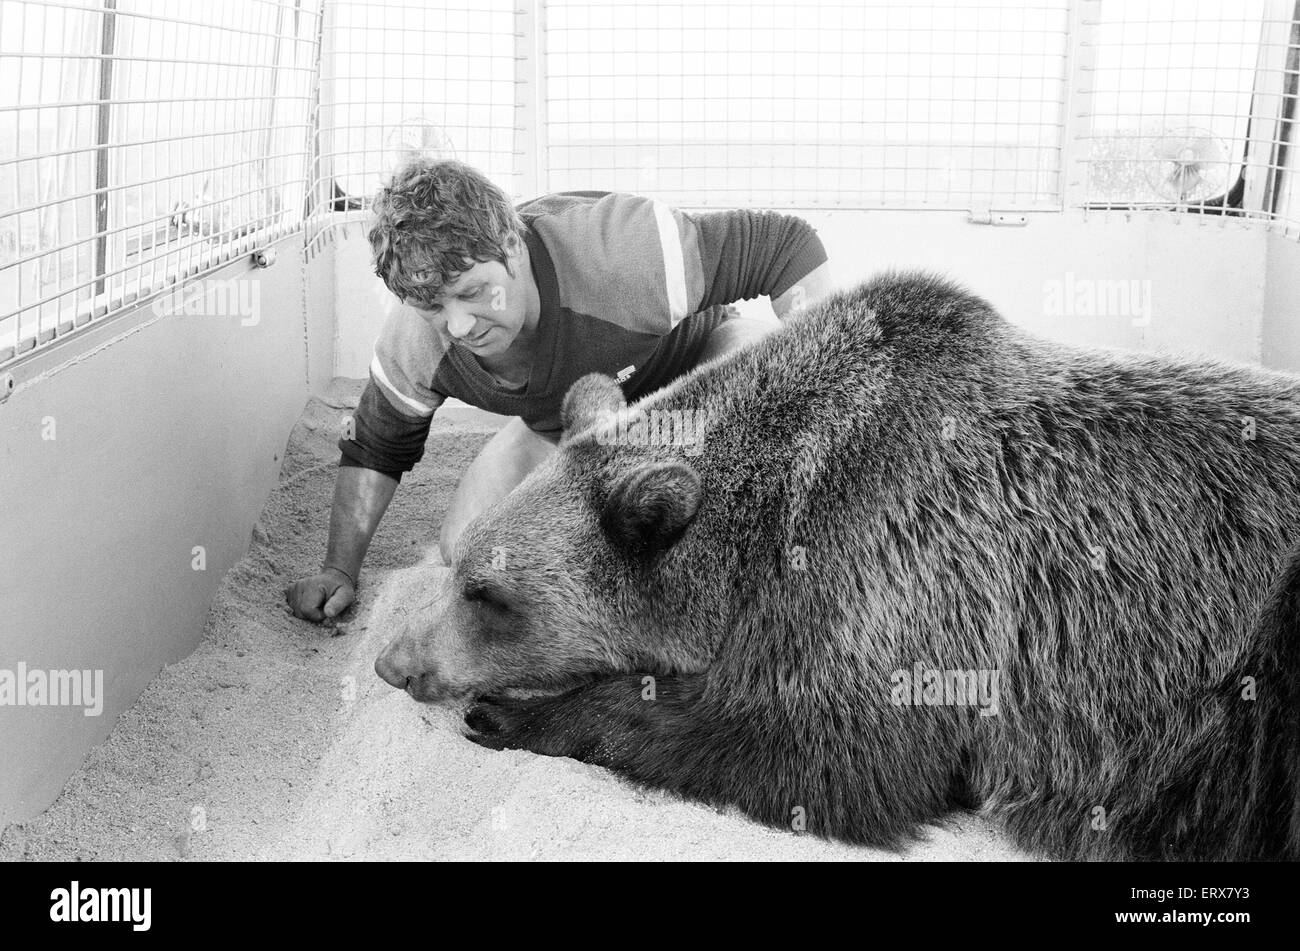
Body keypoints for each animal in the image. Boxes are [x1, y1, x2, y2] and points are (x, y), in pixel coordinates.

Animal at [374, 271, 1300, 861]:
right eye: (455, 568)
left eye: (485, 592)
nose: (393, 661)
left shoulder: (905, 572)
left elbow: (817, 750)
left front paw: (513, 712)